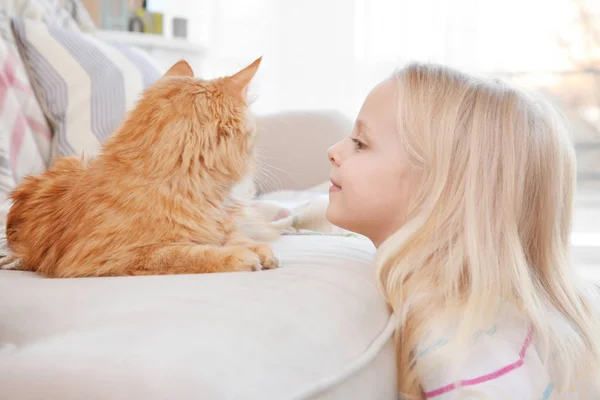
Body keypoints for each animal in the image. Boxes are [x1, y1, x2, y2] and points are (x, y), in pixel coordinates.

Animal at [5, 57, 282, 278]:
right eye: (253, 139)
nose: (255, 163)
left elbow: (231, 236)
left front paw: (256, 248)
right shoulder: (105, 256)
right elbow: (186, 253)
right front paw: (237, 255)